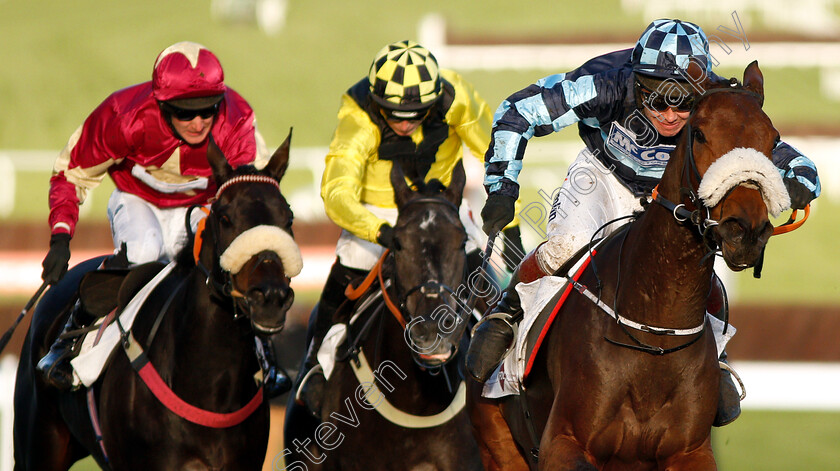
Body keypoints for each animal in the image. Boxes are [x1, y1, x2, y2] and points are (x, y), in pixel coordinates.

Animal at [470, 60, 784, 470]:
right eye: (699, 134)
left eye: (773, 140)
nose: (745, 230)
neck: (654, 335)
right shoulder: (563, 443)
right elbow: (522, 110)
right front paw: (499, 202)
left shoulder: (691, 452)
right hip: (498, 443)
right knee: (559, 250)